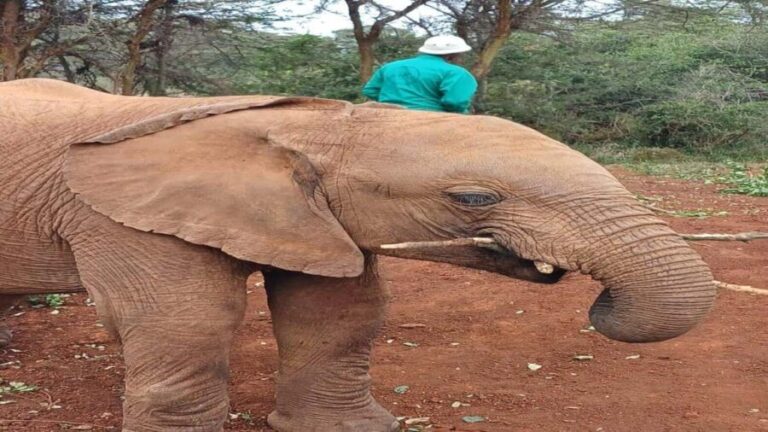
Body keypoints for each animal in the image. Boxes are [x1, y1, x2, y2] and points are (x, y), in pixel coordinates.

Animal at [0, 78, 715, 432]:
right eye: (474, 198)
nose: (599, 303)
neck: (311, 124)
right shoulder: (117, 212)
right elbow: (186, 322)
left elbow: (341, 315)